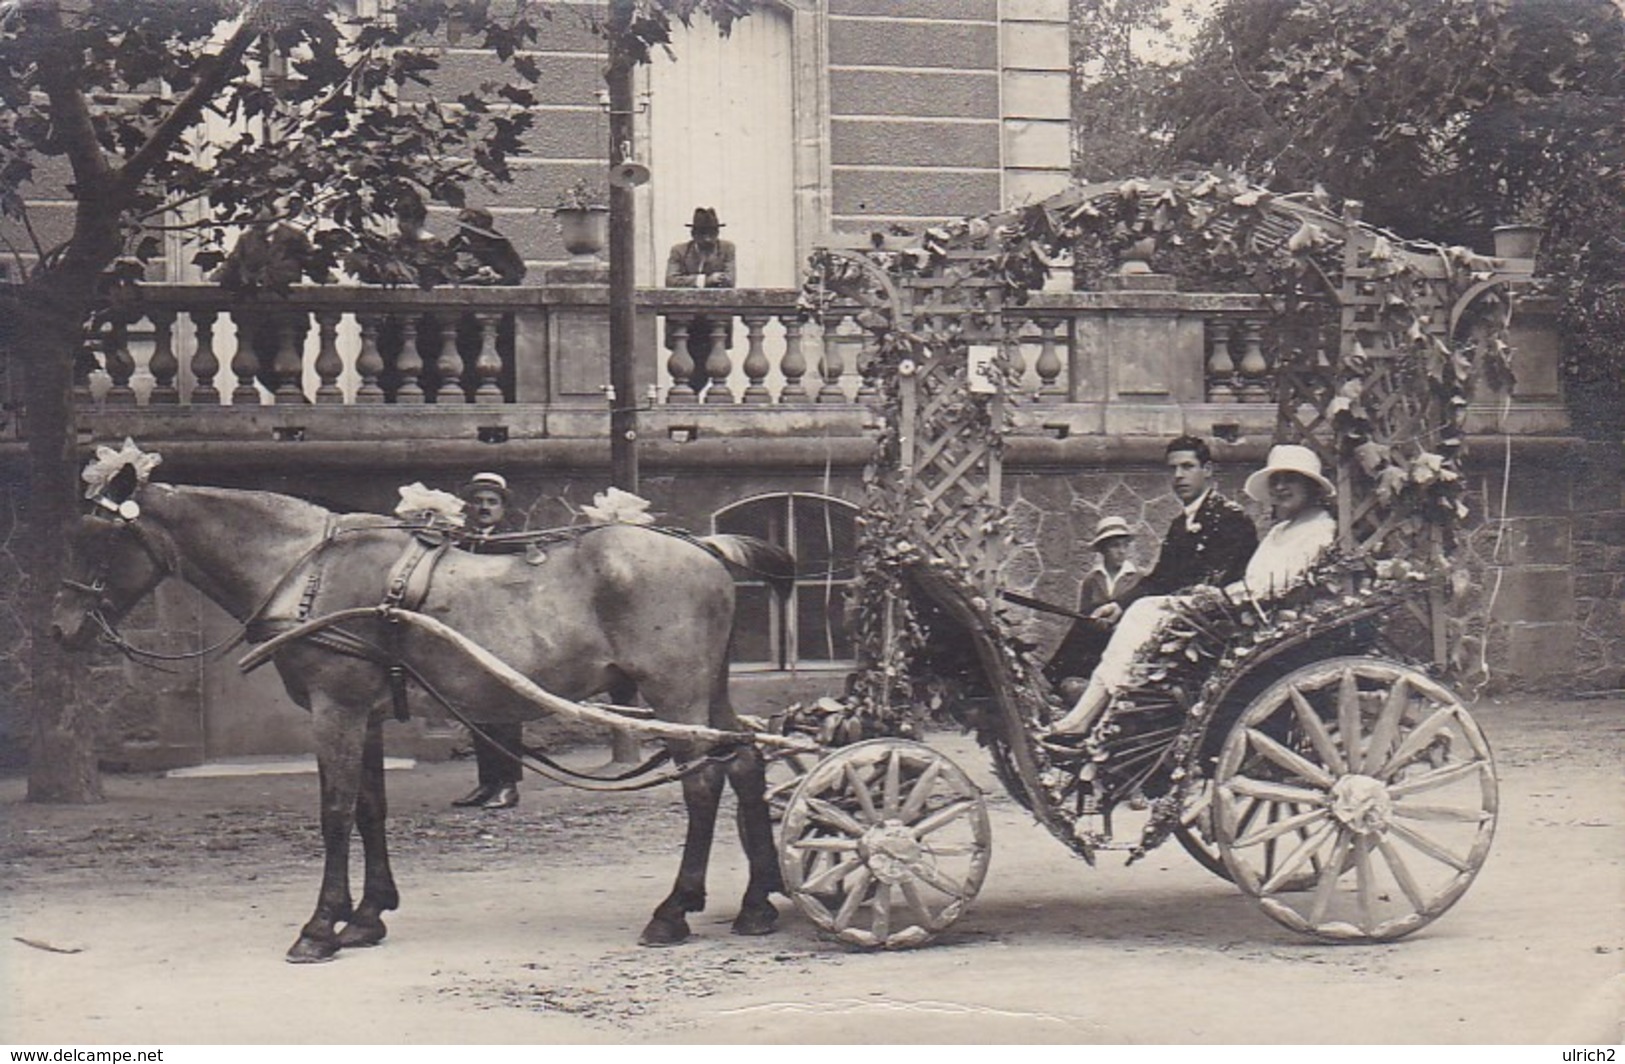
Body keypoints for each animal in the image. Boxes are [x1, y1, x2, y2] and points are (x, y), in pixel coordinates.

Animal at [54, 474, 802, 968]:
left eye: (97, 543)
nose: (61, 628)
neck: (305, 572)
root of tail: (703, 547)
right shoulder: (368, 714)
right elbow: (369, 809)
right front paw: (366, 916)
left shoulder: (336, 707)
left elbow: (333, 812)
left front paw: (320, 926)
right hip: (706, 694)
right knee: (744, 759)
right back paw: (758, 902)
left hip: (675, 695)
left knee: (701, 785)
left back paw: (674, 910)